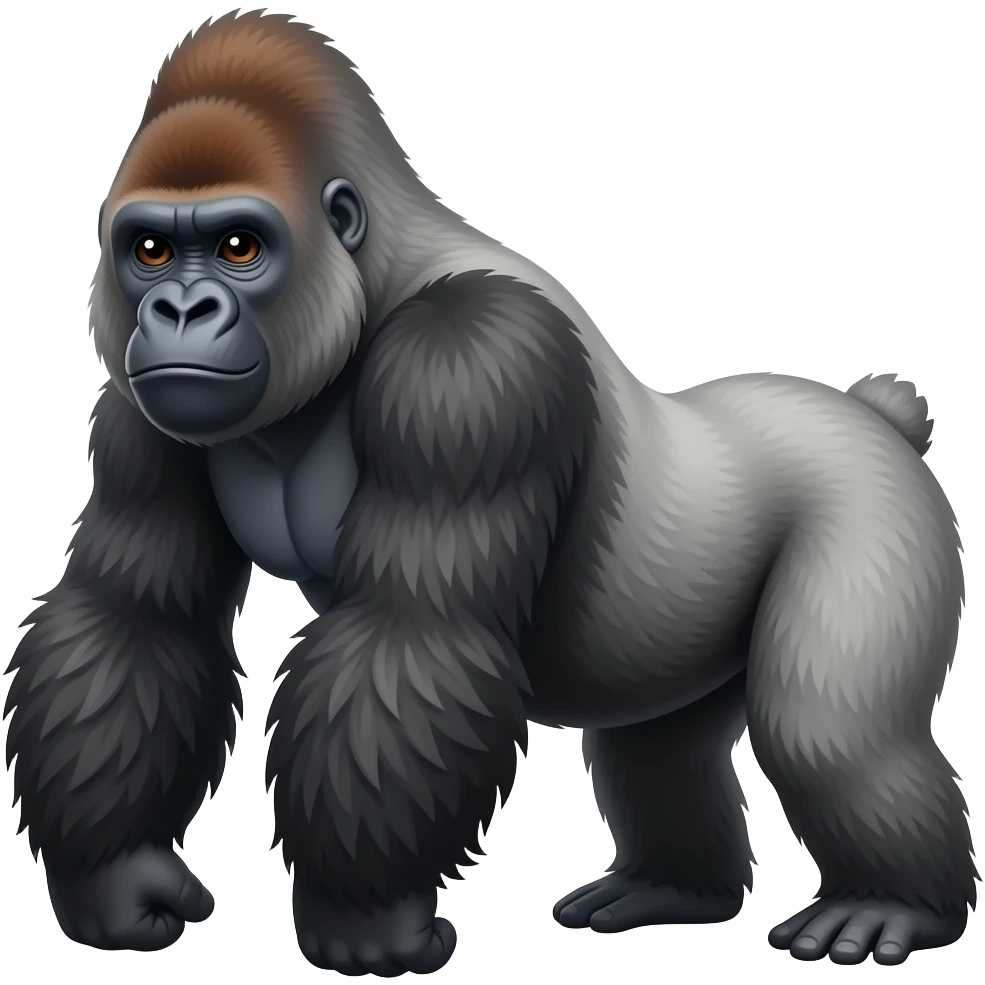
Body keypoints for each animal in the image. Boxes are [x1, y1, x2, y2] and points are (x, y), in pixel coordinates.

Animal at [3, 9, 977, 975]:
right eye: (151, 248)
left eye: (240, 245)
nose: (178, 312)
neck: (370, 277)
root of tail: (867, 413)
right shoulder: (139, 410)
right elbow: (131, 615)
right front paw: (115, 876)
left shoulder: (471, 363)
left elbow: (410, 635)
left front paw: (365, 920)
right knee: (659, 749)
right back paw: (672, 887)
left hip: (874, 502)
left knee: (828, 732)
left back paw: (892, 903)